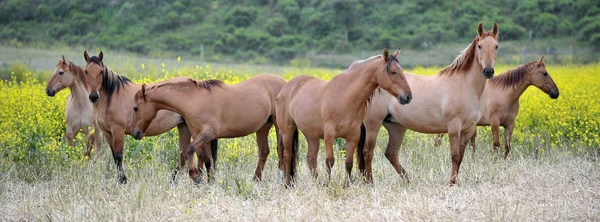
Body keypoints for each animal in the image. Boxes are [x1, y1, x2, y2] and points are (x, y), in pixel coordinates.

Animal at [82, 50, 216, 184]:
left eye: (101, 71)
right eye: (86, 71)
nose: (93, 96)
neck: (113, 97)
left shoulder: (118, 130)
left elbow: (119, 156)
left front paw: (123, 181)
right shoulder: (108, 132)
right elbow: (115, 157)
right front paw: (120, 180)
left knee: (200, 155)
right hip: (184, 127)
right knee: (185, 154)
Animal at [132, 73, 288, 183]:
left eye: (135, 108)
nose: (136, 133)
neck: (193, 100)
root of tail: (284, 83)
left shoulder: (208, 133)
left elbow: (189, 149)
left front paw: (195, 176)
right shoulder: (200, 135)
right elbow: (207, 160)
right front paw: (210, 183)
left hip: (278, 125)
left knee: (280, 150)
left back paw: (281, 179)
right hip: (263, 126)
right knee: (264, 151)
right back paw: (256, 180)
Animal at [276, 47, 412, 186]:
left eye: (401, 71)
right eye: (393, 72)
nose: (407, 97)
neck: (346, 97)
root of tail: (286, 87)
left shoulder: (353, 136)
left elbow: (349, 163)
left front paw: (346, 185)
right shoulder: (329, 135)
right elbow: (329, 161)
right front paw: (329, 184)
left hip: (311, 135)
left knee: (311, 159)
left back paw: (317, 184)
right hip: (287, 130)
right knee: (287, 156)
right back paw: (287, 183)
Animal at [358, 23, 500, 186]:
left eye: (496, 46)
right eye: (480, 46)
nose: (488, 71)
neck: (465, 85)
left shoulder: (468, 129)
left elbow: (461, 157)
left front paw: (455, 181)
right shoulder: (454, 127)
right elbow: (455, 156)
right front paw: (451, 183)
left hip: (396, 127)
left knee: (391, 153)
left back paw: (408, 180)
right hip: (373, 124)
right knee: (368, 151)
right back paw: (370, 182)